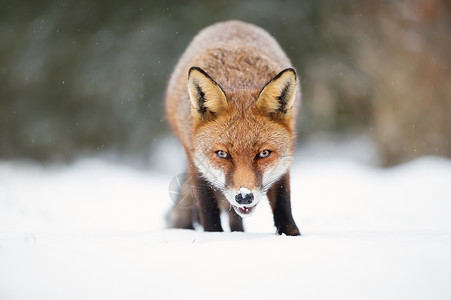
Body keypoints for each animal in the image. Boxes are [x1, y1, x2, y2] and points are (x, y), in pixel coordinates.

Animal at [165, 19, 300, 236]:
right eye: (222, 154)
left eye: (264, 153)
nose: (244, 197)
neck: (239, 79)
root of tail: (232, 22)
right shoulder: (196, 162)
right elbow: (208, 207)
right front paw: (214, 237)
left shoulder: (284, 161)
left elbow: (283, 204)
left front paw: (292, 235)